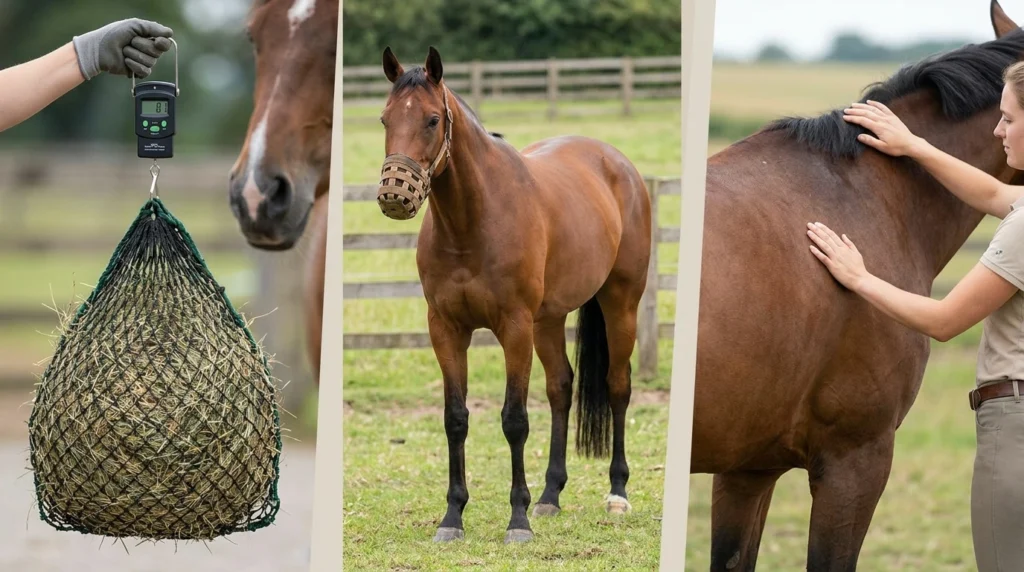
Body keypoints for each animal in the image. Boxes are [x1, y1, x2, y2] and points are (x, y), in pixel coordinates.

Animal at [374, 46, 652, 543]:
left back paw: (617, 493)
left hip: (621, 304)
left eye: (431, 119)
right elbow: (455, 418)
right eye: (385, 119)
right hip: (549, 320)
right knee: (561, 387)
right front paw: (452, 517)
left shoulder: (514, 327)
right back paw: (550, 495)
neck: (473, 222)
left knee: (617, 386)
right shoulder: (445, 329)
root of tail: (618, 164)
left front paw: (517, 520)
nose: (393, 194)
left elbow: (514, 419)